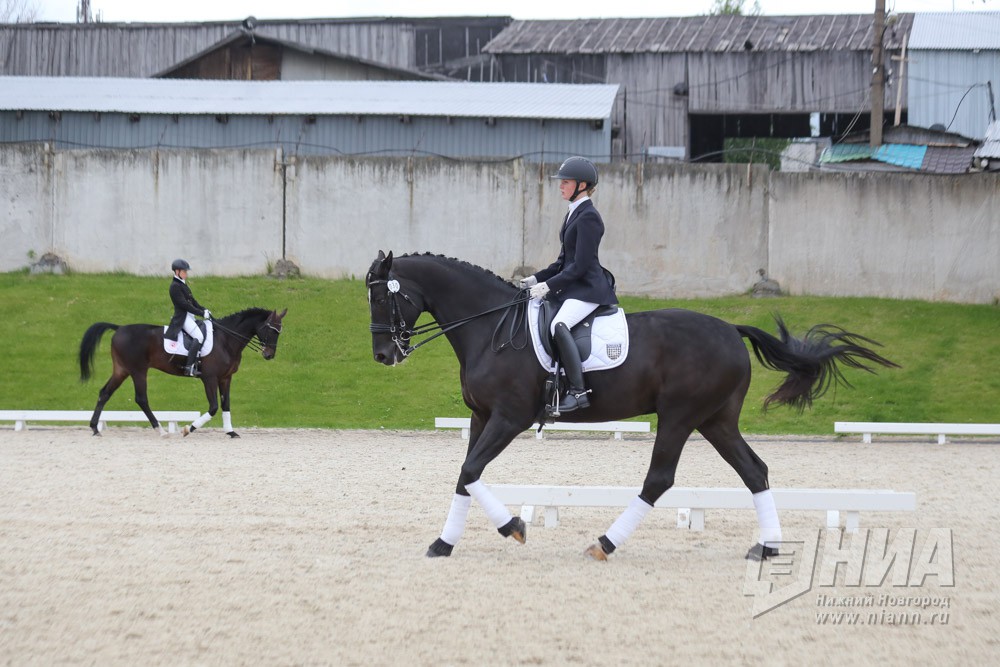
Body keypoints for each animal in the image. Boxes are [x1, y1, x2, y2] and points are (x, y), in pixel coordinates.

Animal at [79, 308, 286, 438]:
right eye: (271, 330)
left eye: (279, 332)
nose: (269, 355)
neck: (226, 339)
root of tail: (119, 328)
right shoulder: (209, 378)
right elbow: (213, 407)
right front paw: (189, 429)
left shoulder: (226, 378)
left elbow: (226, 405)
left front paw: (230, 432)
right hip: (138, 371)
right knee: (141, 399)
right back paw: (161, 431)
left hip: (122, 370)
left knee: (105, 393)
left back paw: (95, 428)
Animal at [368, 253, 900, 560]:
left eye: (383, 298)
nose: (383, 355)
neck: (490, 329)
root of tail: (731, 330)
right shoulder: (481, 417)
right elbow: (465, 474)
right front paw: (444, 543)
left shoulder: (509, 418)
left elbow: (471, 470)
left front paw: (513, 527)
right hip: (716, 420)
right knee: (755, 471)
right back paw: (766, 547)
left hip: (681, 416)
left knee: (660, 479)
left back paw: (605, 544)